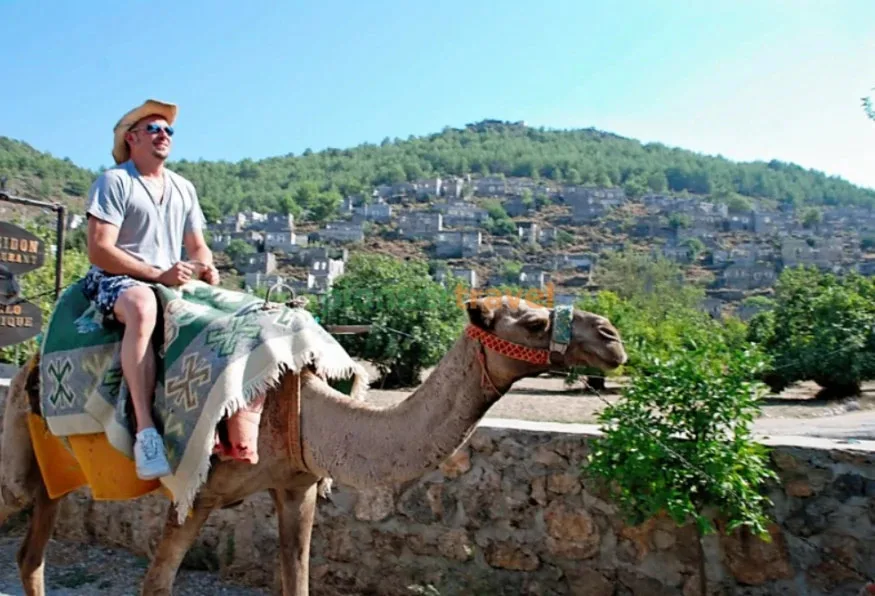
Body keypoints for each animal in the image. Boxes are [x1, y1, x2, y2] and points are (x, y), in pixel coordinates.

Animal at [0, 295, 627, 596]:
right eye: (534, 324)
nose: (613, 338)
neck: (304, 412)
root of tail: (28, 365)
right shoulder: (195, 493)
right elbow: (155, 585)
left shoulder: (296, 485)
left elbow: (296, 581)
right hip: (16, 465)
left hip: (53, 479)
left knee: (31, 556)